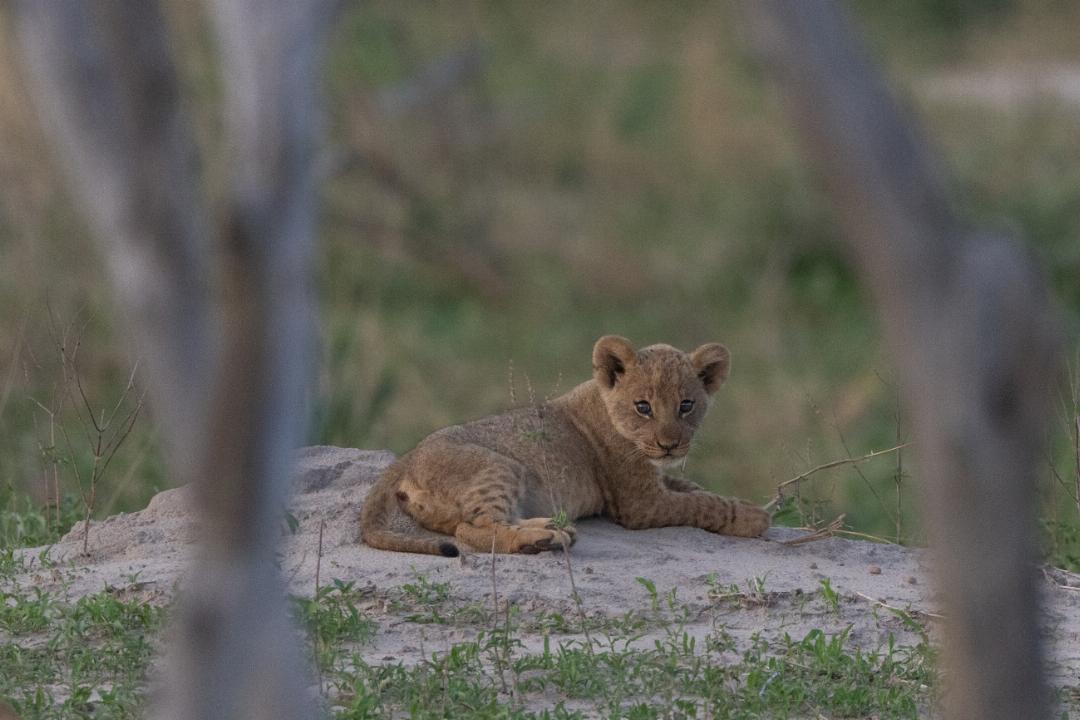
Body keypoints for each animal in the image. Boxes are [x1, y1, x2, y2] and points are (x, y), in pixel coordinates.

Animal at [360, 335, 770, 555]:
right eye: (643, 406)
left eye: (686, 405)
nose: (670, 445)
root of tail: (406, 460)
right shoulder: (639, 504)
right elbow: (700, 504)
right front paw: (752, 516)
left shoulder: (656, 481)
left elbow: (693, 488)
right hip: (499, 465)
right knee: (472, 528)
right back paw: (542, 539)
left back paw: (551, 526)